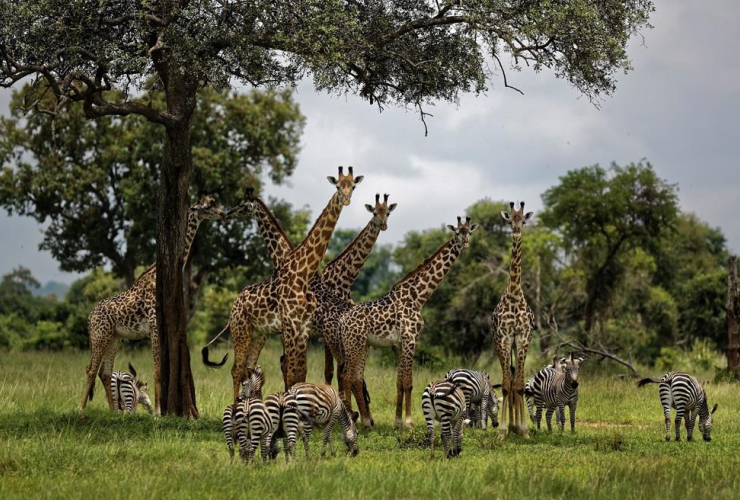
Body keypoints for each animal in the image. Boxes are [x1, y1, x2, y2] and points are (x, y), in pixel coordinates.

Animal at [78, 195, 224, 418]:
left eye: (214, 202)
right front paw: (157, 413)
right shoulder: (154, 328)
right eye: (208, 206)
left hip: (114, 338)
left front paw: (158, 411)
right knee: (91, 369)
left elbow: (158, 370)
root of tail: (89, 317)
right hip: (99, 335)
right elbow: (157, 370)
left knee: (104, 372)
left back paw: (113, 412)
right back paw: (81, 412)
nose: (223, 213)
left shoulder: (156, 330)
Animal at [202, 166, 364, 400]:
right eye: (337, 186)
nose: (228, 212)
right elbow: (292, 371)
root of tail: (235, 304)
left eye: (352, 186)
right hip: (244, 330)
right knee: (238, 369)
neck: (301, 270)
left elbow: (297, 372)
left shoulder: (300, 328)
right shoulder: (290, 327)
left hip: (265, 334)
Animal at [336, 217, 474, 428]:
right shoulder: (410, 338)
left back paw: (366, 422)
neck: (418, 297)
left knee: (356, 379)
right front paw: (409, 423)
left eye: (469, 232)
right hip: (354, 344)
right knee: (346, 377)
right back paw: (351, 418)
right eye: (457, 233)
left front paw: (398, 421)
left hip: (363, 346)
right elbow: (408, 382)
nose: (465, 243)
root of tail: (343, 320)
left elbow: (400, 382)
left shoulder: (400, 343)